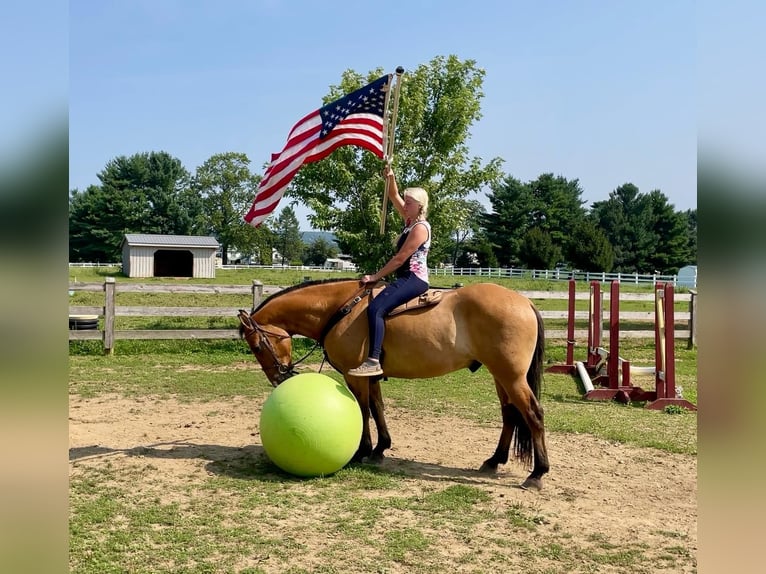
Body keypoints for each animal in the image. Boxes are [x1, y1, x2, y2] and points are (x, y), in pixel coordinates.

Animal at [237, 280, 548, 490]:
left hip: (511, 377)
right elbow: (378, 408)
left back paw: (537, 474)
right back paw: (494, 461)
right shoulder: (370, 376)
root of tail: (525, 302)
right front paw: (380, 449)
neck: (342, 310)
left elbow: (363, 411)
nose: (278, 378)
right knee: (509, 415)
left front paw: (362, 451)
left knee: (533, 415)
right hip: (500, 377)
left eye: (257, 346)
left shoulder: (355, 376)